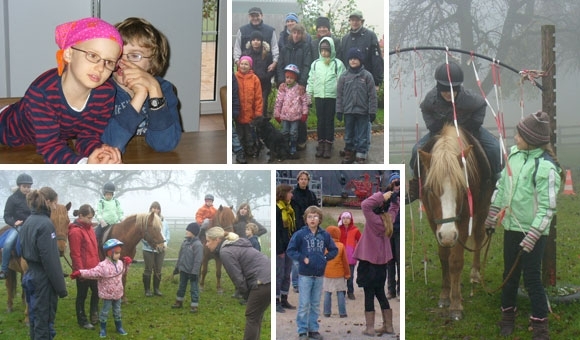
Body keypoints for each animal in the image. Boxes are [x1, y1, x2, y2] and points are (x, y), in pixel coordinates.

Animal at [416, 123, 494, 320]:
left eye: (461, 188)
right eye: (431, 189)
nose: (448, 234)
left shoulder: (463, 222)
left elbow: (456, 261)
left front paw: (456, 304)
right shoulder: (433, 221)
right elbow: (444, 257)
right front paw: (445, 295)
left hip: (483, 208)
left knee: (479, 236)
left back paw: (475, 274)